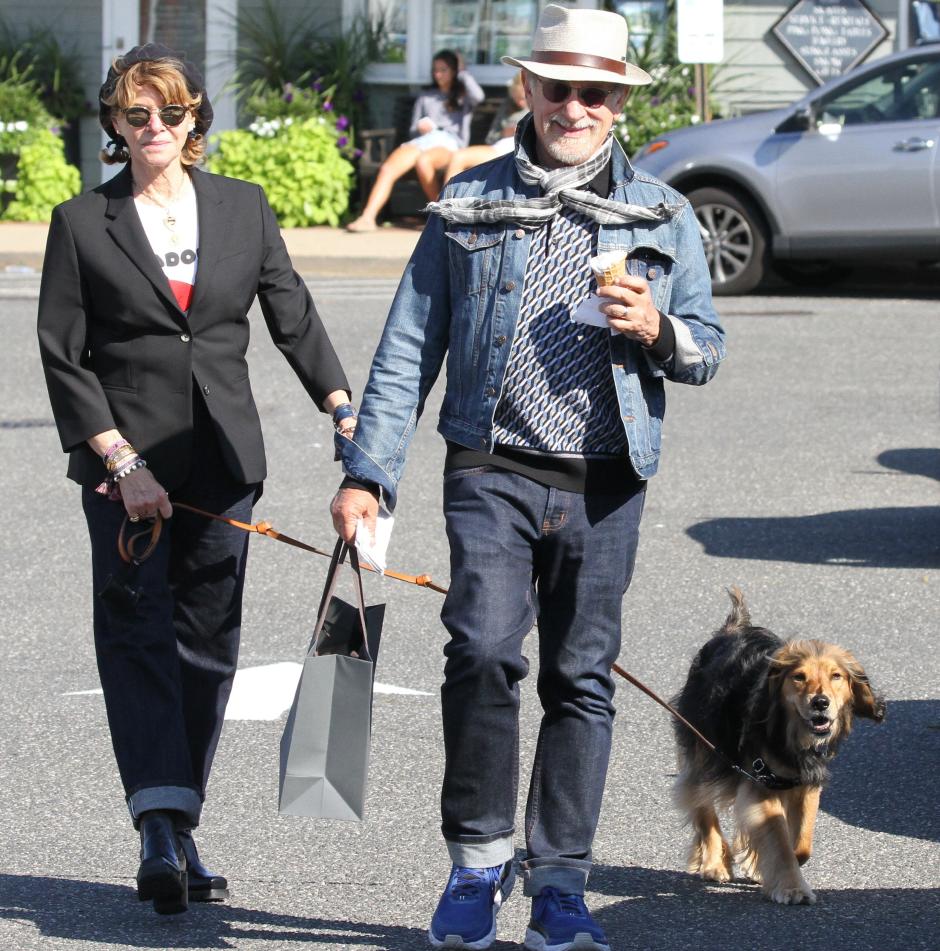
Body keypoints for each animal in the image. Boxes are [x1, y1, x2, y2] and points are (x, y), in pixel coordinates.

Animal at [672, 588, 884, 908]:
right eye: (799, 677)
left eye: (836, 676)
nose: (820, 703)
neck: (791, 734)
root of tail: (733, 627)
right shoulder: (762, 782)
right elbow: (779, 841)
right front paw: (791, 887)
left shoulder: (804, 782)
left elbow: (801, 843)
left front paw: (767, 863)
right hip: (703, 745)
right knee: (701, 804)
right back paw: (715, 862)